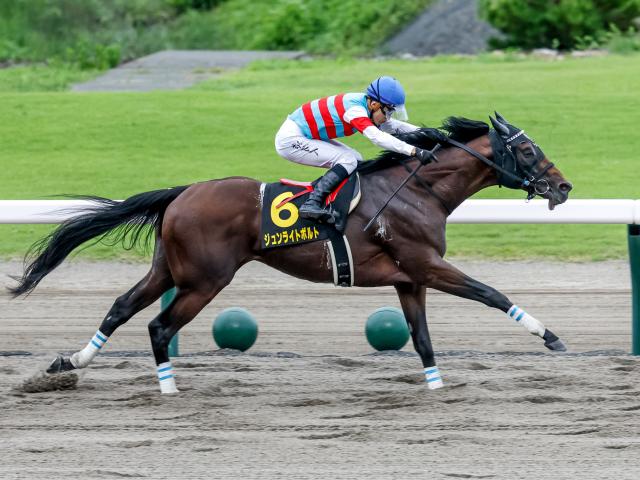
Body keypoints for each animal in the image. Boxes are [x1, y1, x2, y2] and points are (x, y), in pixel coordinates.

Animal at [8, 113, 568, 394]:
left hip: (169, 268)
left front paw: (436, 389)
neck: (420, 190)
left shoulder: (409, 278)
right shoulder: (426, 265)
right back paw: (168, 390)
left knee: (122, 308)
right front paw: (551, 337)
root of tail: (182, 193)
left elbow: (424, 340)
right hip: (205, 280)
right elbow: (491, 293)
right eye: (526, 149)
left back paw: (67, 363)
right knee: (159, 327)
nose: (563, 187)